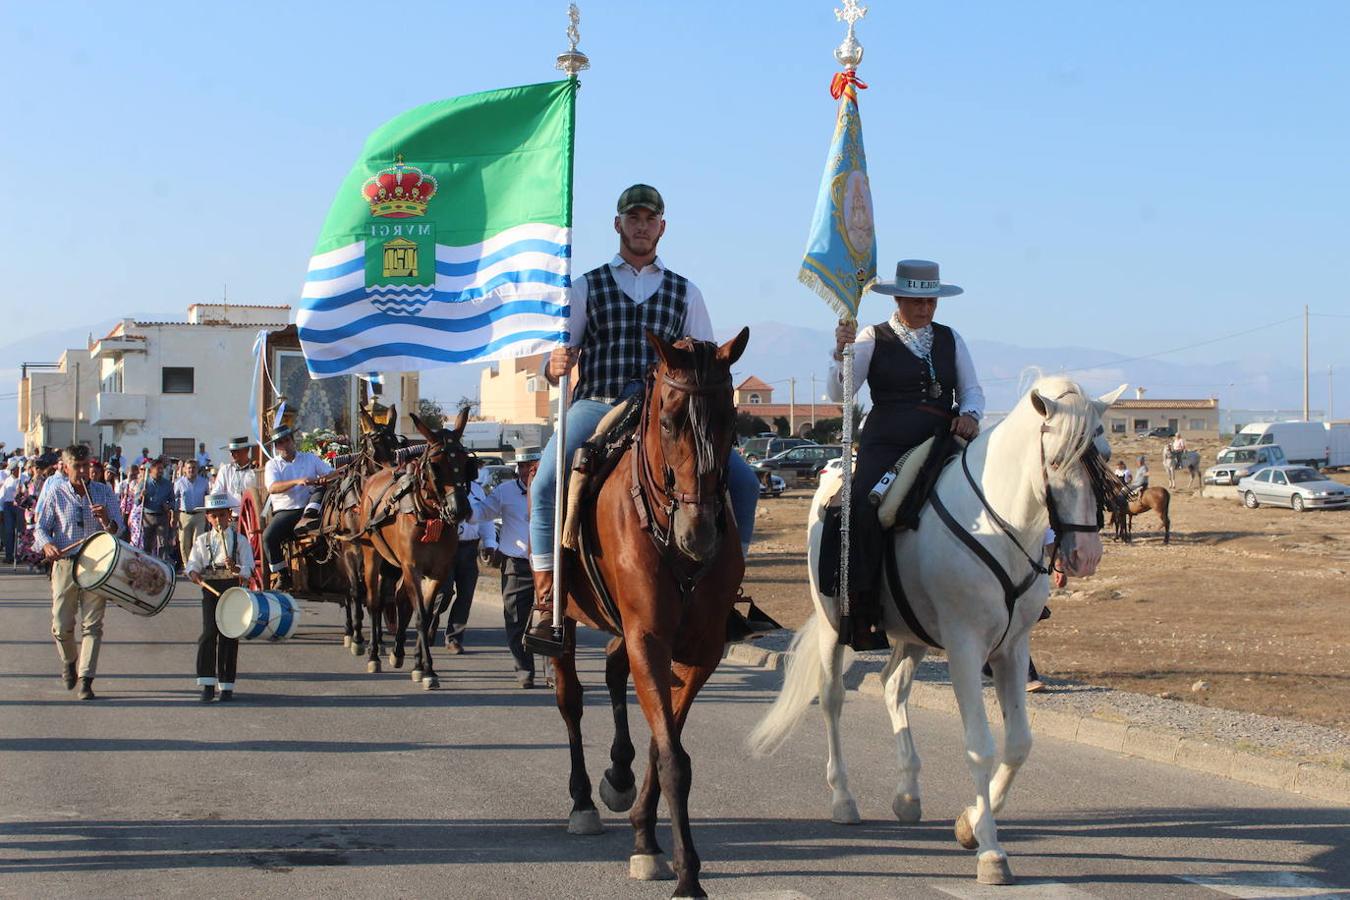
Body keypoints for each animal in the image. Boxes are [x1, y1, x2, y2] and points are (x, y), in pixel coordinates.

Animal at [356, 407, 472, 690]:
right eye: (435, 465)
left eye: (466, 463)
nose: (460, 509)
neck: (428, 514)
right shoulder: (412, 567)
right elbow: (419, 614)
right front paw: (428, 669)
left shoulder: (438, 571)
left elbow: (426, 614)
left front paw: (420, 665)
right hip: (372, 555)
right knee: (374, 602)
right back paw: (374, 654)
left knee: (398, 598)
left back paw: (398, 652)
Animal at [553, 330, 756, 900]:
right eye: (668, 421)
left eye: (731, 418)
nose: (698, 533)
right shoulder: (649, 637)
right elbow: (672, 757)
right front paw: (687, 874)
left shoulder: (699, 651)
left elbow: (662, 741)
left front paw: (646, 835)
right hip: (565, 621)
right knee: (571, 699)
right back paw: (582, 801)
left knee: (613, 670)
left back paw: (617, 777)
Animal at [750, 377, 1117, 885]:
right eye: (1059, 459)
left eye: (1104, 454)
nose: (1085, 554)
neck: (1001, 524)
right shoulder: (965, 647)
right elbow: (981, 746)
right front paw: (990, 851)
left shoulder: (1012, 649)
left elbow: (1019, 743)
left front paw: (969, 823)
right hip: (832, 626)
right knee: (833, 699)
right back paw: (843, 799)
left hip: (911, 635)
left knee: (892, 686)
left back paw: (907, 795)